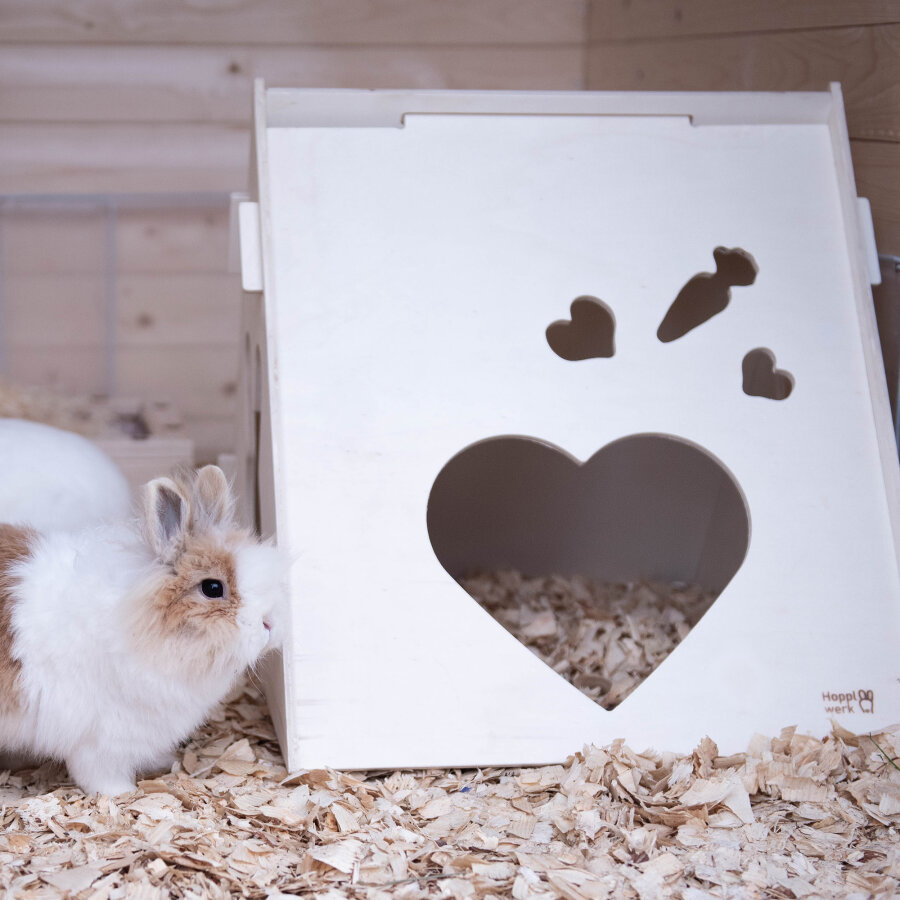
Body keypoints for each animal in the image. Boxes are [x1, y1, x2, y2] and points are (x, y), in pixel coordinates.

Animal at [0, 464, 289, 796]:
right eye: (213, 588)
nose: (270, 624)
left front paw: (164, 762)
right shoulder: (101, 738)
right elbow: (99, 774)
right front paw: (121, 794)